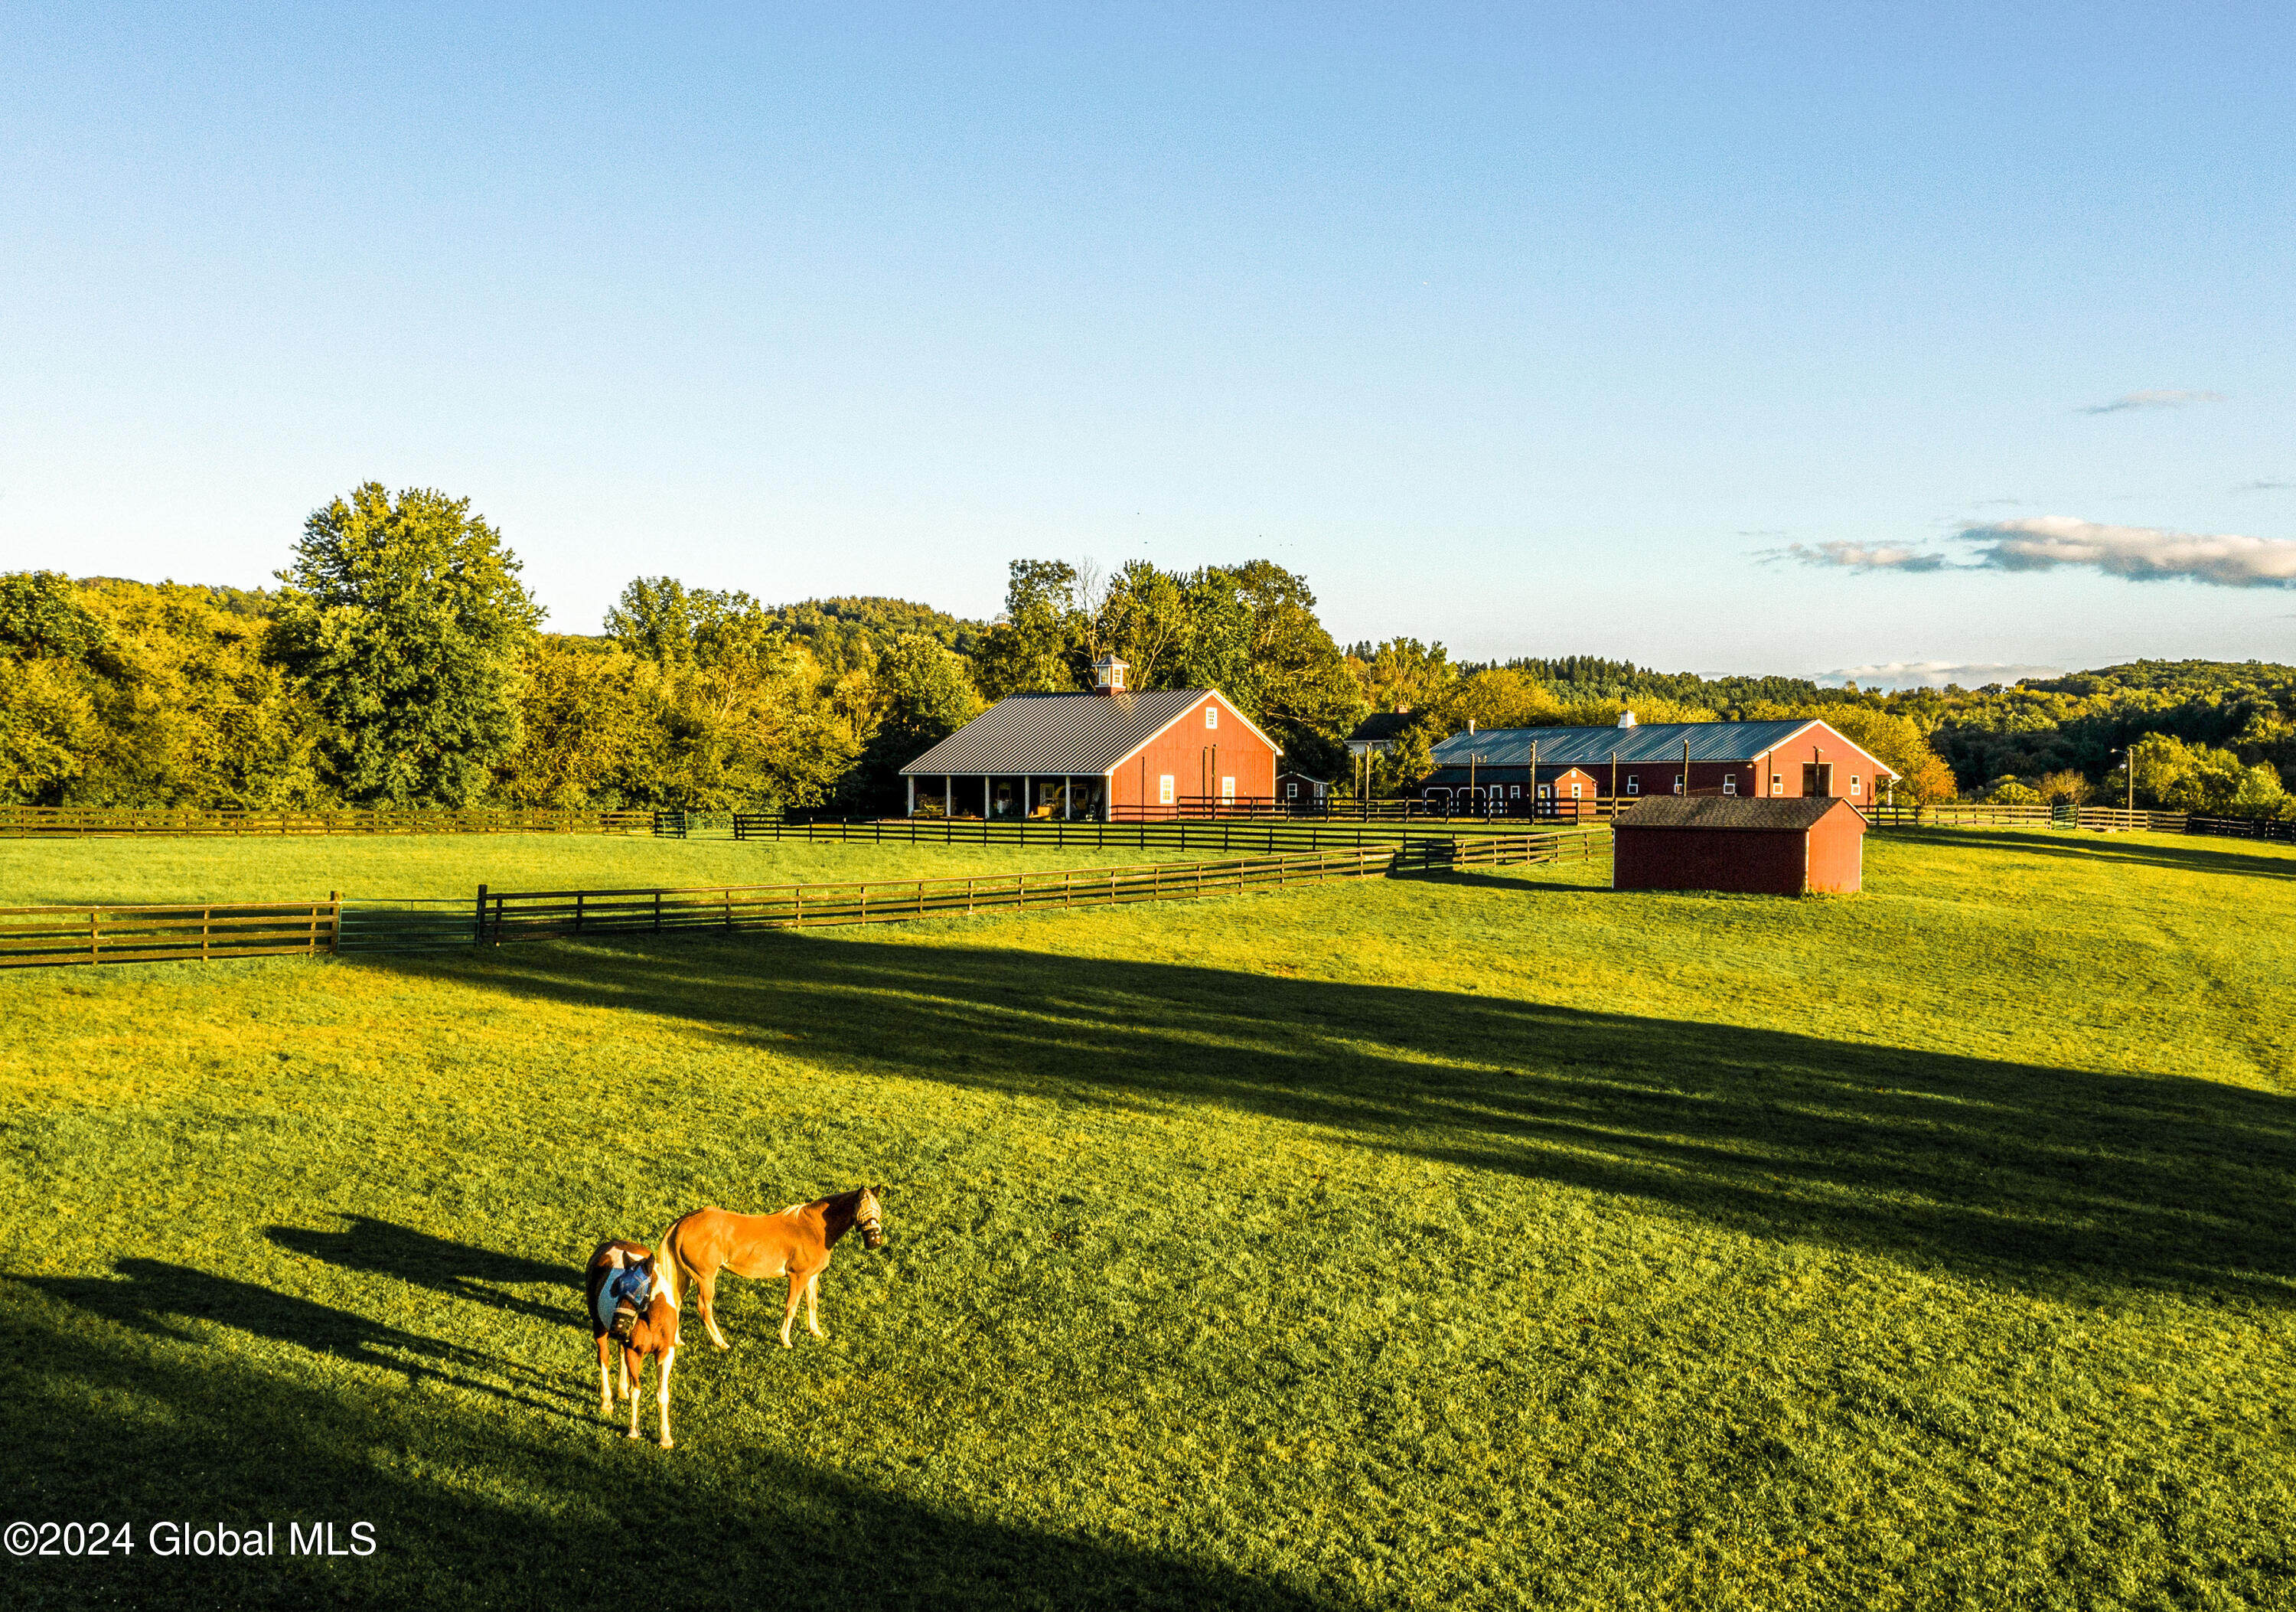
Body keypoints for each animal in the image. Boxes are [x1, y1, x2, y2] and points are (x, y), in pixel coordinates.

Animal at [583, 1240, 680, 1460]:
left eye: (637, 1288)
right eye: (615, 1287)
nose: (618, 1326)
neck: (653, 1319)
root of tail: (611, 1243)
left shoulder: (665, 1353)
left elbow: (663, 1395)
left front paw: (665, 1438)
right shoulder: (634, 1351)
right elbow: (637, 1391)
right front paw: (634, 1430)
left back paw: (621, 1390)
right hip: (599, 1327)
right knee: (604, 1357)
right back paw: (607, 1401)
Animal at [666, 1185, 886, 1350]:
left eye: (879, 1210)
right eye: (863, 1208)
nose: (875, 1241)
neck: (814, 1228)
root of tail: (683, 1223)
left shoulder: (812, 1276)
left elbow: (812, 1303)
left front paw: (816, 1332)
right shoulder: (798, 1276)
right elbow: (792, 1307)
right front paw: (786, 1340)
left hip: (686, 1276)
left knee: (675, 1302)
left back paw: (677, 1340)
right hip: (705, 1278)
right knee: (704, 1308)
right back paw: (721, 1342)